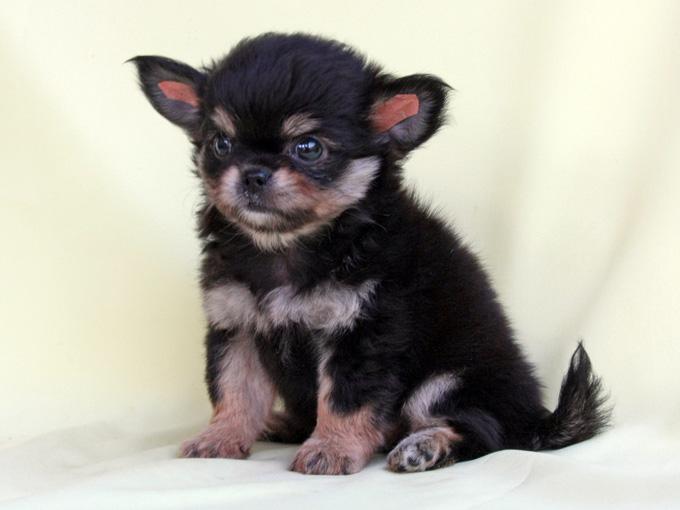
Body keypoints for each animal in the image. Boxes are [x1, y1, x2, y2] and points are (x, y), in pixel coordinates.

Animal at [130, 33, 610, 475]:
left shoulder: (362, 332)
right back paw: (284, 424)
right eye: (220, 144)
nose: (253, 173)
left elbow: (345, 399)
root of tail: (534, 421)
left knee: (484, 434)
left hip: (446, 383)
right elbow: (235, 390)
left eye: (308, 147)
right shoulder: (237, 327)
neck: (289, 244)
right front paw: (221, 437)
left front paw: (331, 449)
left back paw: (423, 448)